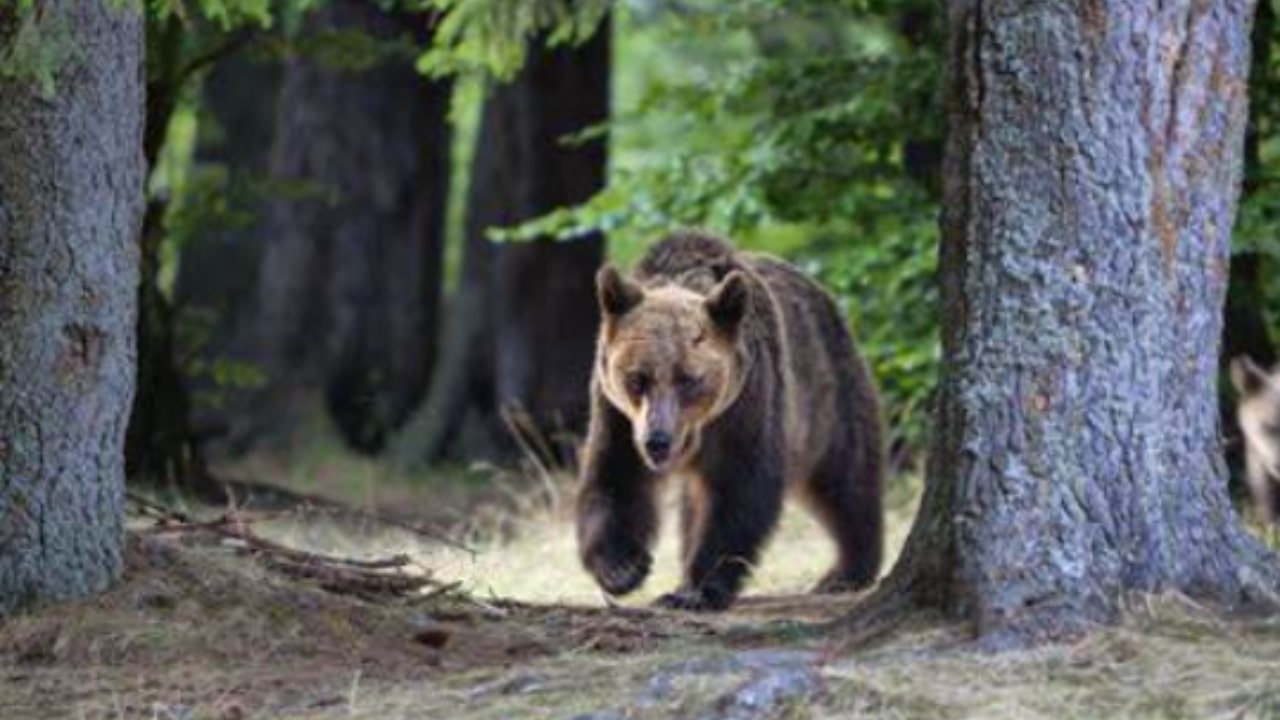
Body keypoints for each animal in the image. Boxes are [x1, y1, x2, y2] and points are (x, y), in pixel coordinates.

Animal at [578, 228, 885, 604]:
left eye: (689, 378)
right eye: (637, 378)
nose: (657, 441)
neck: (697, 432)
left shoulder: (747, 404)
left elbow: (740, 490)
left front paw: (698, 589)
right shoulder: (618, 416)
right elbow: (615, 476)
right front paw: (622, 568)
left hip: (827, 397)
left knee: (846, 478)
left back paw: (847, 570)